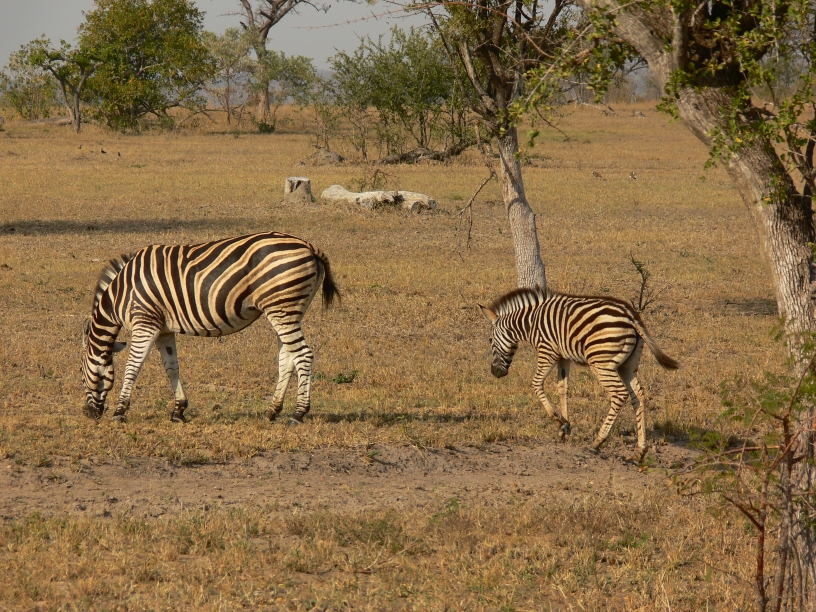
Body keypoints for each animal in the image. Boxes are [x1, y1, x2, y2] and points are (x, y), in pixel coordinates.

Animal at [81, 231, 338, 424]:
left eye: (81, 373)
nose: (88, 414)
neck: (120, 295)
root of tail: (308, 245)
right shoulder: (164, 329)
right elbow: (172, 367)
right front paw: (178, 411)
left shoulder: (145, 322)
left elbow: (133, 367)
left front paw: (120, 411)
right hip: (286, 310)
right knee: (287, 358)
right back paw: (272, 411)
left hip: (282, 308)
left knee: (303, 355)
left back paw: (298, 413)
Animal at [479, 287, 678, 461]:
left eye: (489, 340)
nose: (495, 372)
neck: (531, 322)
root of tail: (631, 315)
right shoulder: (563, 356)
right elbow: (562, 388)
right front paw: (565, 427)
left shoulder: (547, 352)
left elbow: (536, 383)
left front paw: (558, 420)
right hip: (628, 365)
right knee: (638, 396)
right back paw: (640, 451)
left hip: (602, 362)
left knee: (619, 394)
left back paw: (597, 442)